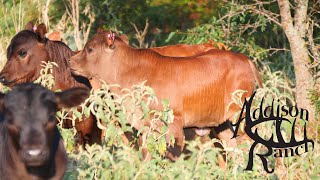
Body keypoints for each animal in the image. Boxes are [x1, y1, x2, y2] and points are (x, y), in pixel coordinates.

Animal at [69, 31, 262, 159]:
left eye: (90, 49)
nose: (70, 60)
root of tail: (244, 59)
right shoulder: (143, 127)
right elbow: (146, 155)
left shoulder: (174, 125)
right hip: (221, 123)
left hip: (240, 117)